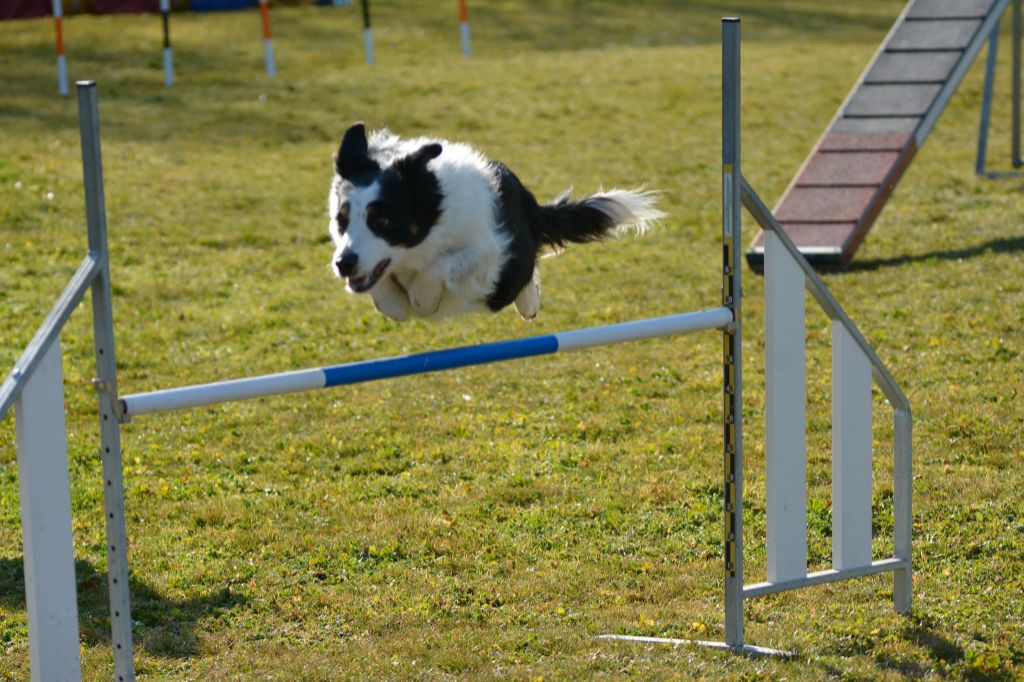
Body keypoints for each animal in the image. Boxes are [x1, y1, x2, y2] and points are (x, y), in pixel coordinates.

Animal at [325, 122, 663, 321]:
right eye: (341, 220)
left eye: (382, 219)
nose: (344, 264)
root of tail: (527, 200)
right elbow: (387, 300)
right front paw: (396, 298)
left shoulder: (491, 252)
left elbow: (439, 268)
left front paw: (424, 298)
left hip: (507, 273)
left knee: (519, 278)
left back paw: (529, 304)